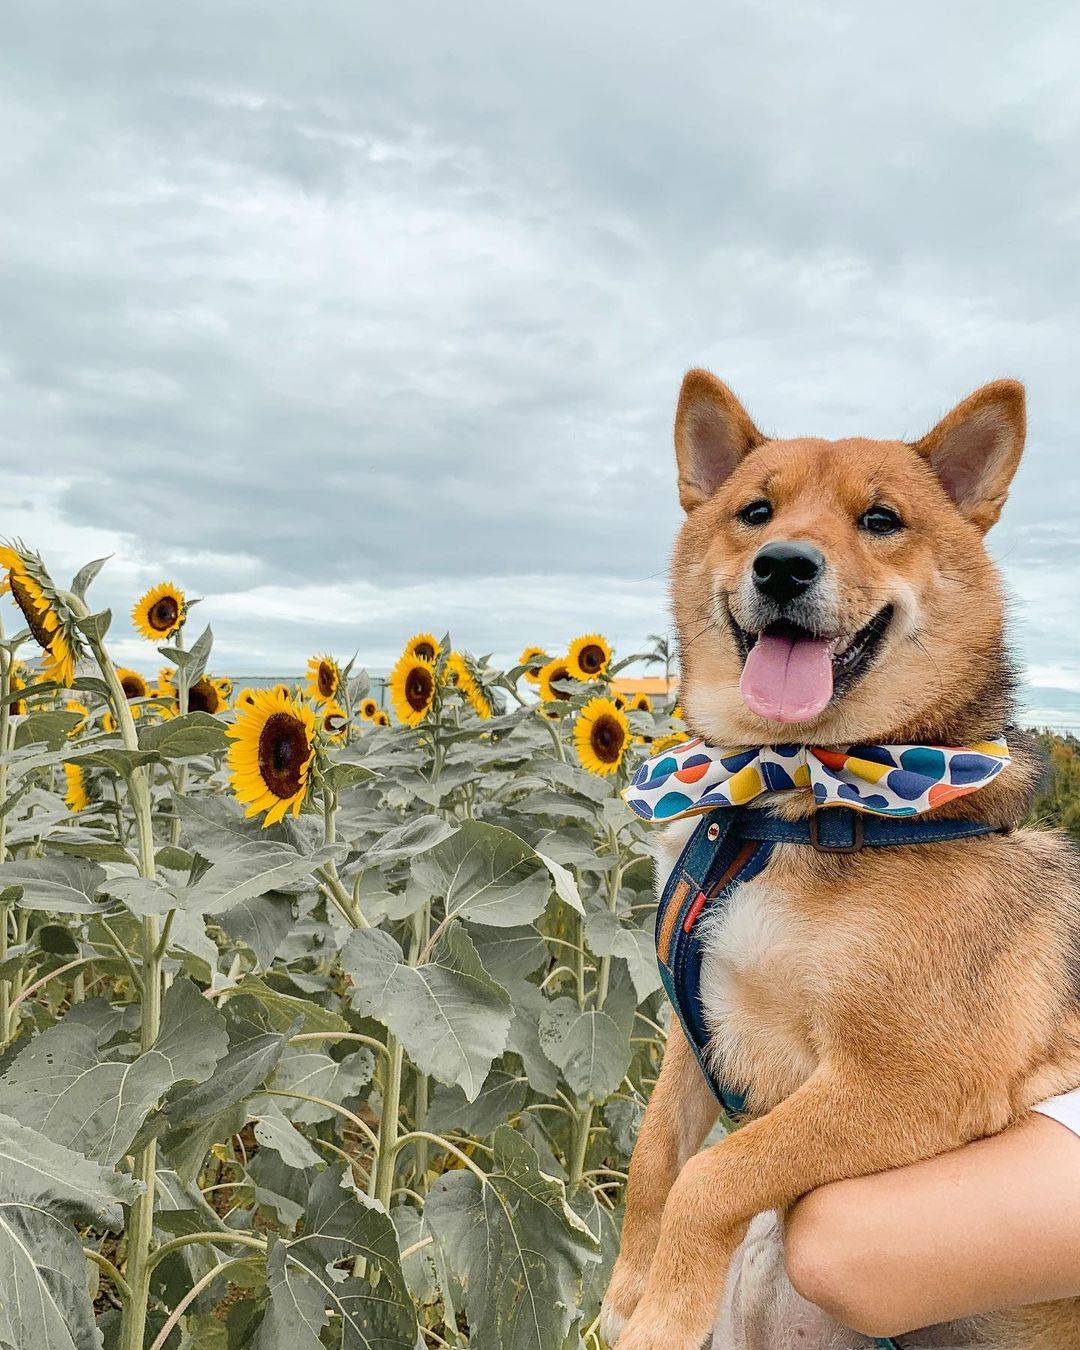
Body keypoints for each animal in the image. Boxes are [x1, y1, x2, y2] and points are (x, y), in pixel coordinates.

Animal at [599, 375, 1080, 1350]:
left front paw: (661, 1320)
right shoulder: (697, 1024)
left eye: (881, 520)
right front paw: (627, 1292)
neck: (778, 799)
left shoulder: (909, 1082)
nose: (783, 566)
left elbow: (712, 1178)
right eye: (755, 511)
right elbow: (655, 1159)